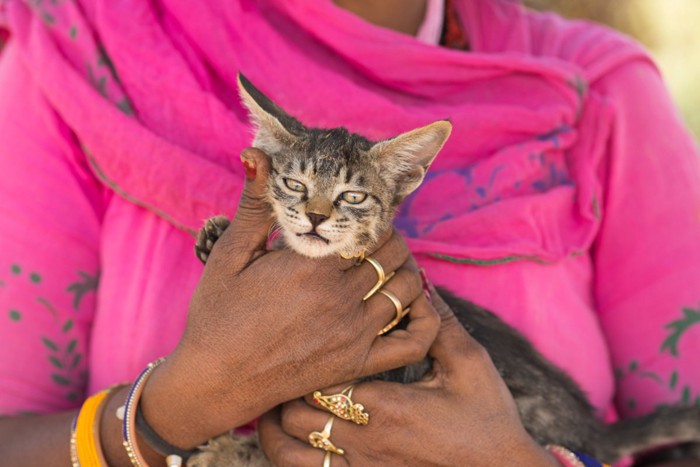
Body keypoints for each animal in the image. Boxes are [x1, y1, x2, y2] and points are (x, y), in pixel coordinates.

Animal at [187, 75, 700, 466]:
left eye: (352, 196)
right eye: (296, 185)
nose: (314, 217)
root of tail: (594, 428)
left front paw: (234, 451)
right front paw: (217, 239)